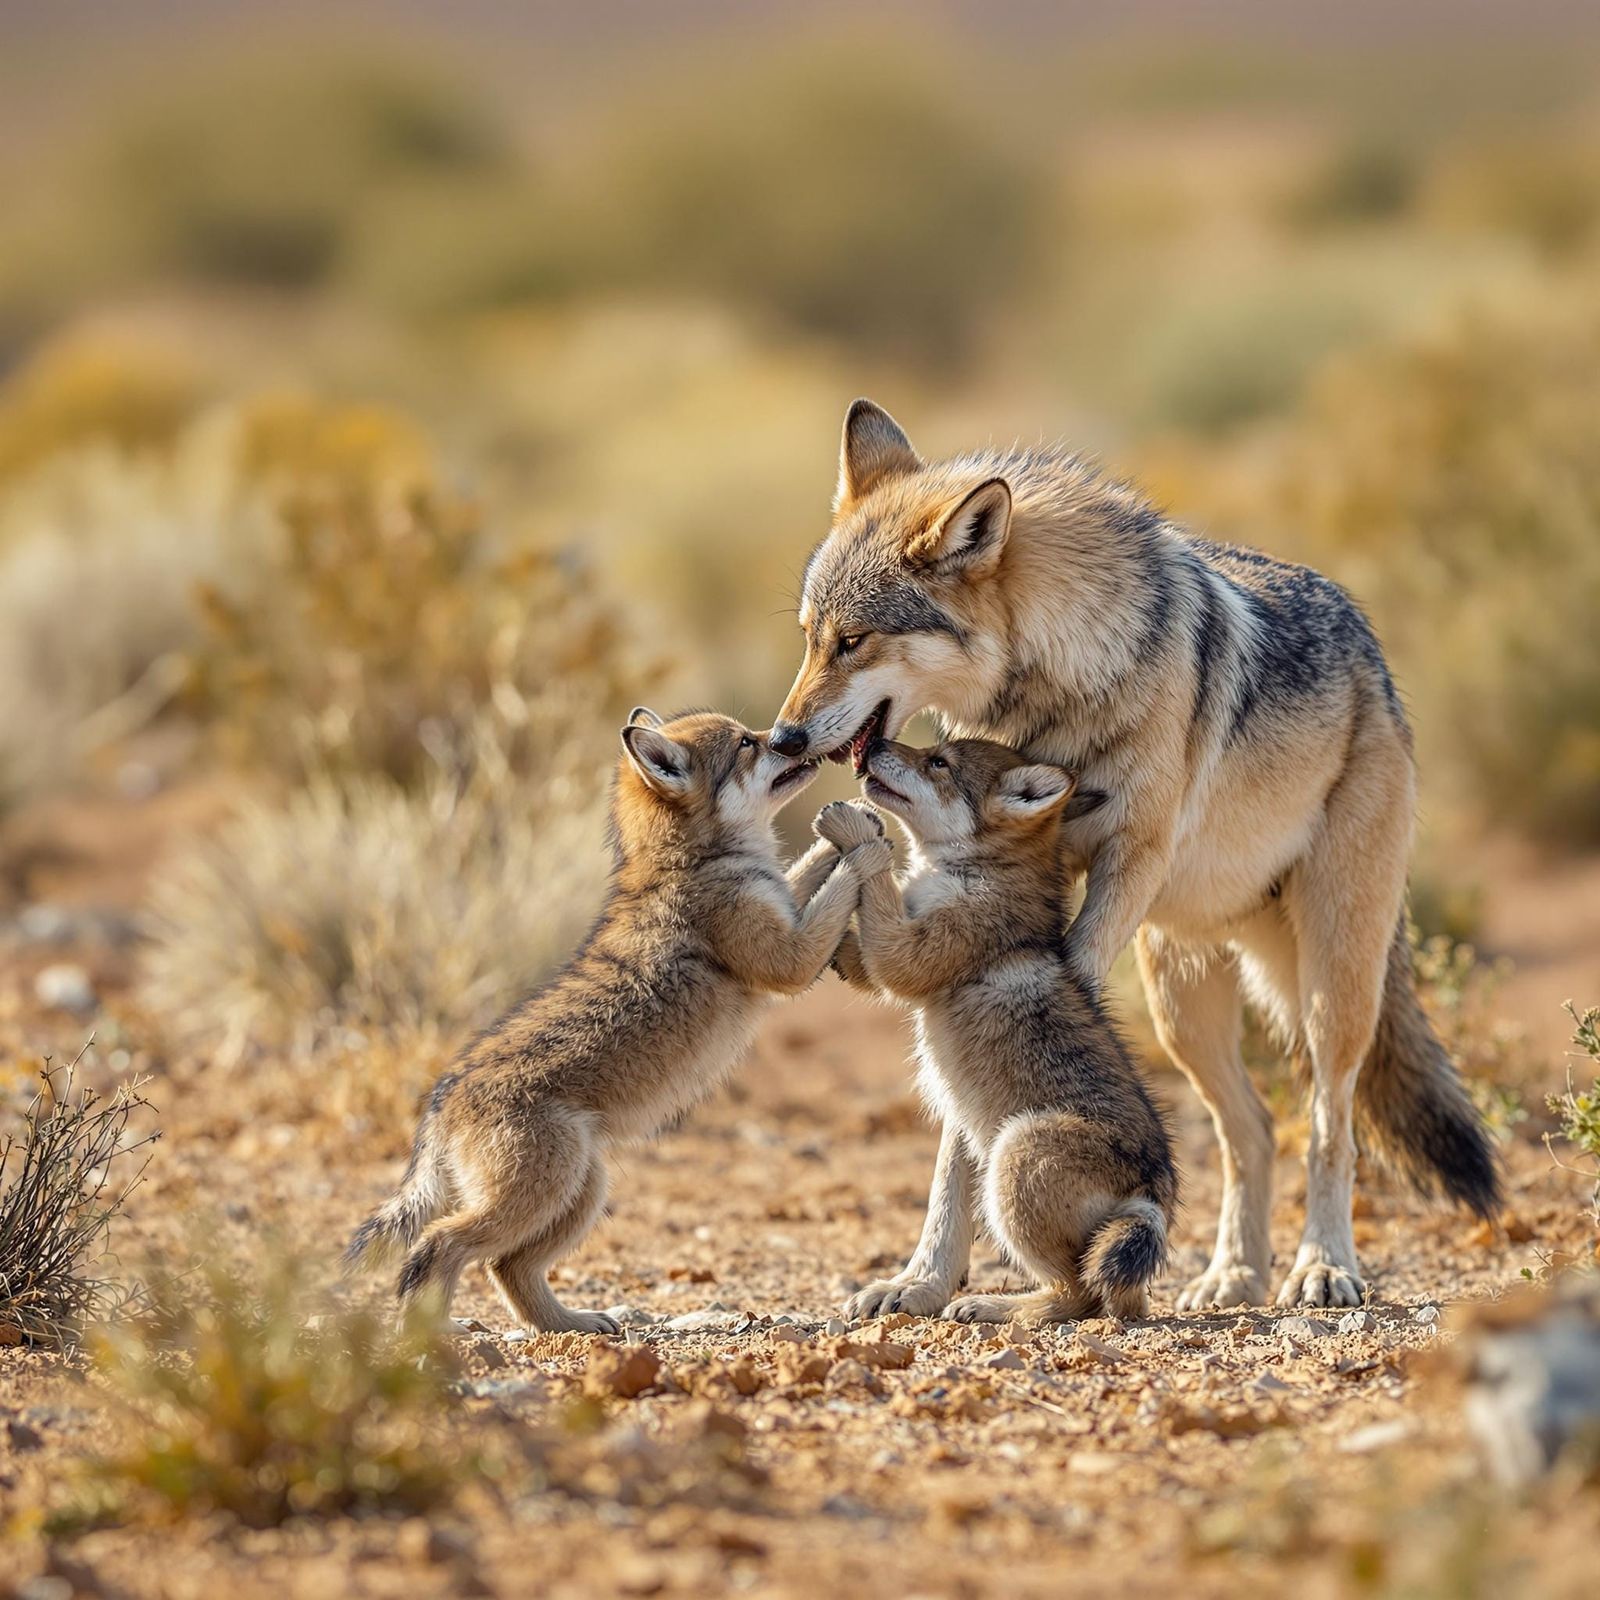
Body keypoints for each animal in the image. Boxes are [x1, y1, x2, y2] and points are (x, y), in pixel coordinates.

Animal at [346, 708, 891, 1331]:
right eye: (747, 744)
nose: (787, 738)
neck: (691, 862)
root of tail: (443, 1097)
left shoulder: (787, 914)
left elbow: (807, 870)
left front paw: (849, 825)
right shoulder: (791, 961)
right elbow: (840, 881)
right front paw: (866, 847)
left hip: (579, 1190)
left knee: (506, 1269)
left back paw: (576, 1322)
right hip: (540, 1195)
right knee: (436, 1248)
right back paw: (434, 1335)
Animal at [819, 742, 1177, 1325]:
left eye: (938, 762)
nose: (872, 747)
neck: (979, 874)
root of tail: (1152, 1191)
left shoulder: (906, 955)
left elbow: (879, 879)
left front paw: (853, 830)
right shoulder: (889, 957)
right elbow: (858, 943)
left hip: (1015, 1152)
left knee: (1076, 1294)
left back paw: (993, 1306)